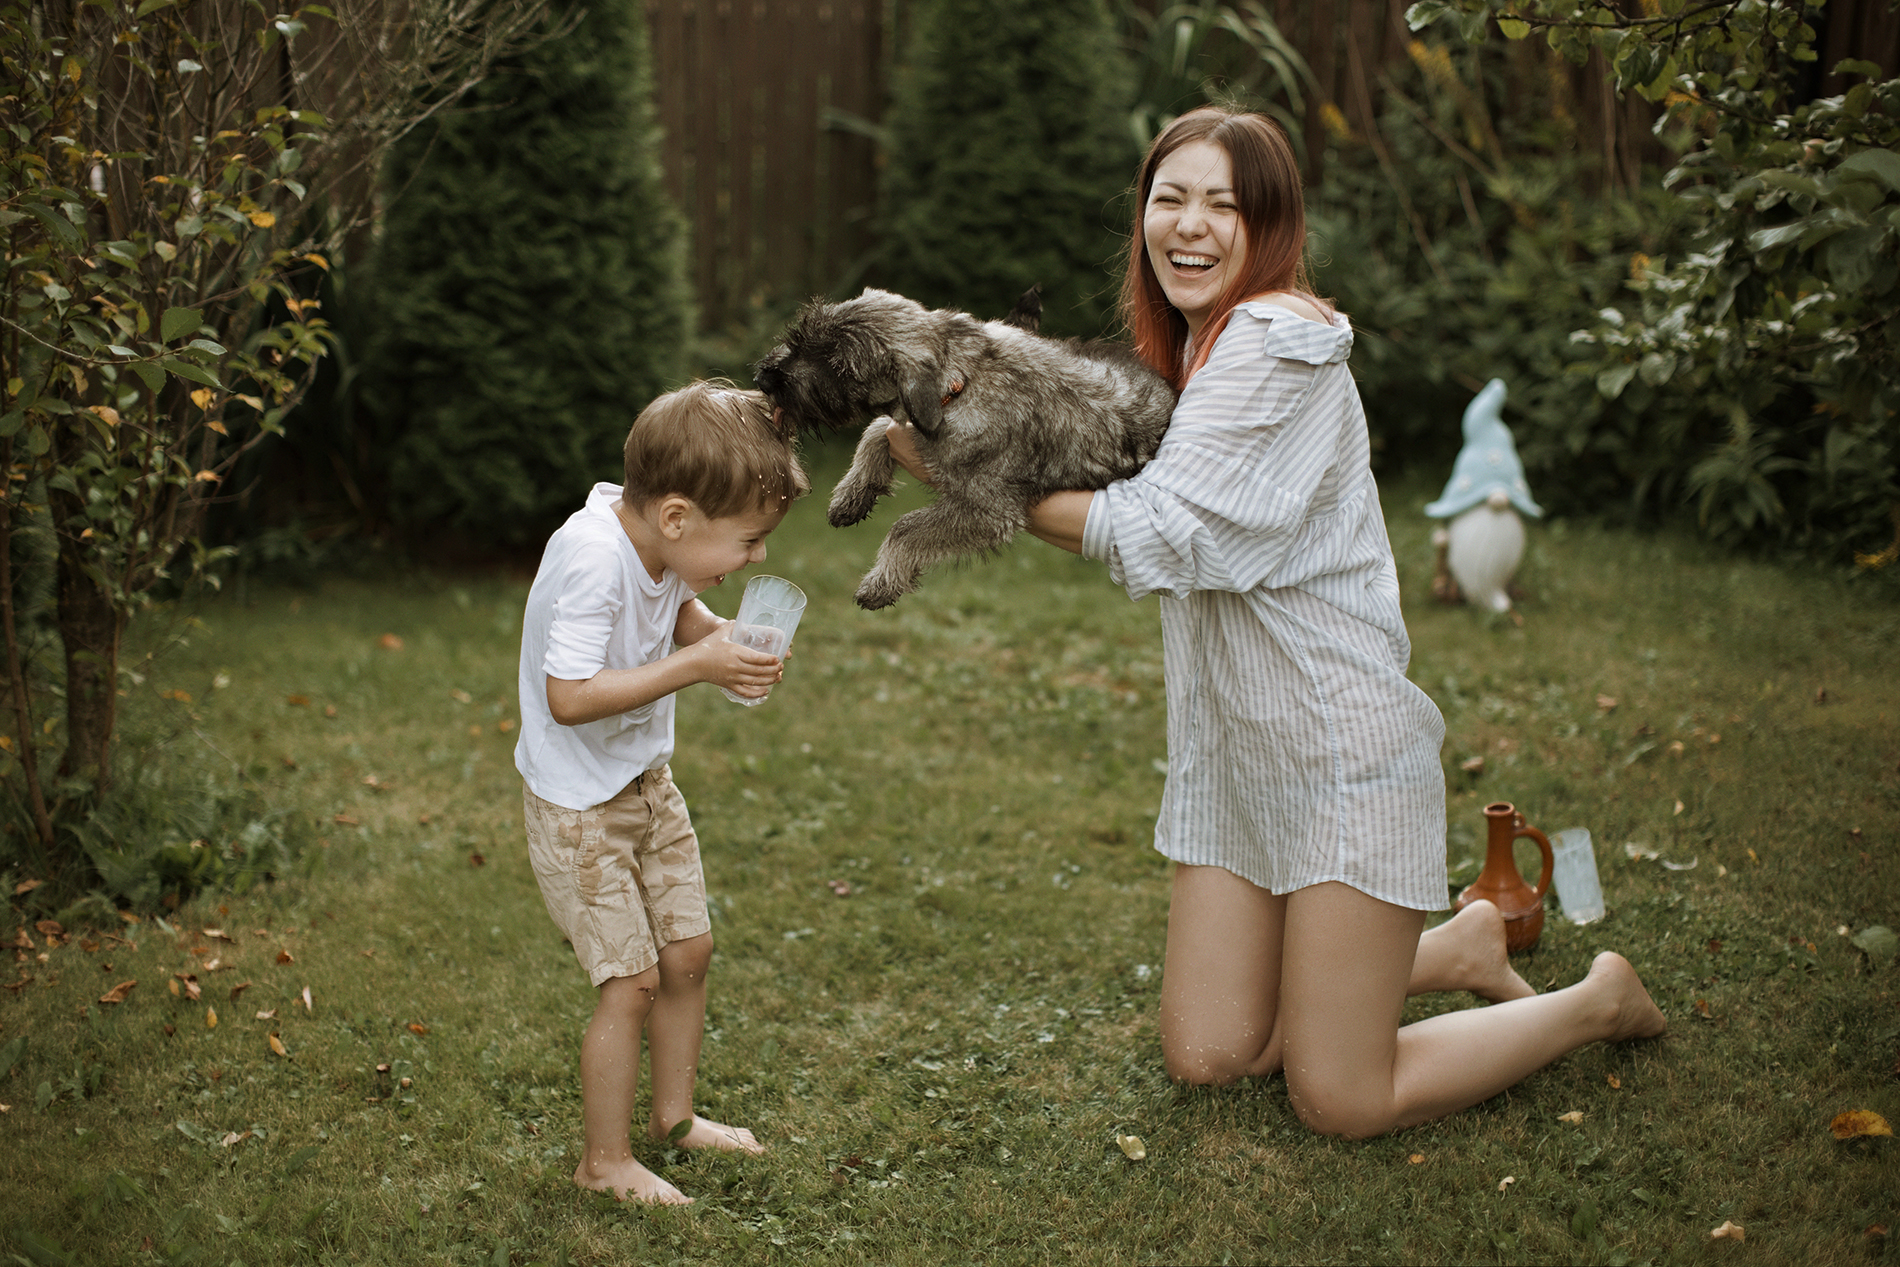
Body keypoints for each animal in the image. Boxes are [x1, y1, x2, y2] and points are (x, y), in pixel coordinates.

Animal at [752, 287, 1177, 609]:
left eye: (838, 367)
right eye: (800, 337)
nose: (764, 377)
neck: (960, 382)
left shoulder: (985, 509)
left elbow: (906, 528)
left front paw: (881, 581)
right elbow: (877, 430)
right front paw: (851, 494)